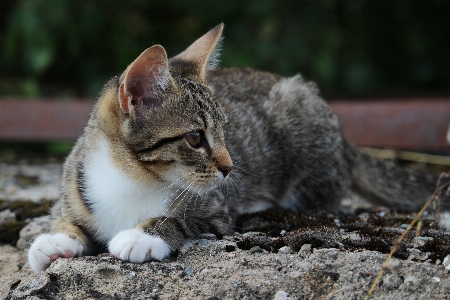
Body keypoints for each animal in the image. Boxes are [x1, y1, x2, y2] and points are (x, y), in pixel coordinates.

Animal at [28, 22, 450, 272]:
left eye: (225, 131)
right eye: (195, 138)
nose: (230, 168)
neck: (133, 178)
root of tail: (345, 139)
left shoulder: (217, 207)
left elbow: (182, 218)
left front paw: (143, 236)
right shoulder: (76, 181)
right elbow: (68, 215)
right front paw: (55, 239)